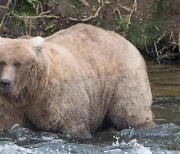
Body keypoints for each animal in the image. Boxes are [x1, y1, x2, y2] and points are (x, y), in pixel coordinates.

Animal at [0, 23, 155, 137]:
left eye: (18, 63)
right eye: (2, 62)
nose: (5, 82)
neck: (32, 90)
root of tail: (127, 41)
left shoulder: (60, 95)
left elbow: (74, 124)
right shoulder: (13, 106)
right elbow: (9, 124)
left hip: (123, 80)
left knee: (130, 112)